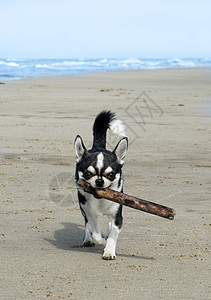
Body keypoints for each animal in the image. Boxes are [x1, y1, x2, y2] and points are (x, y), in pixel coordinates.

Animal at [75, 111, 128, 258]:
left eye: (111, 175)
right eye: (88, 174)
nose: (99, 181)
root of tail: (98, 146)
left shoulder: (117, 215)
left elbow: (113, 233)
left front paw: (109, 251)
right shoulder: (89, 213)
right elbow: (96, 233)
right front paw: (102, 240)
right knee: (88, 225)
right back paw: (88, 239)